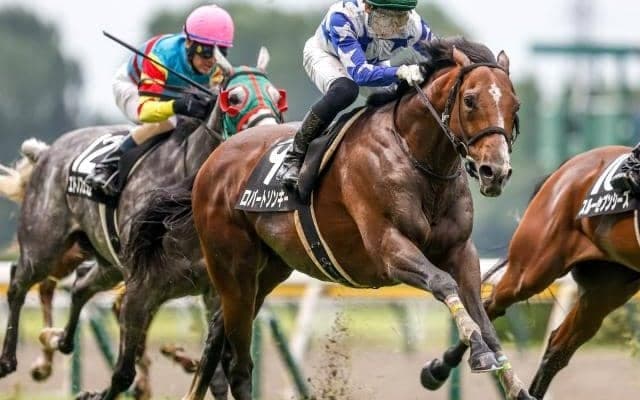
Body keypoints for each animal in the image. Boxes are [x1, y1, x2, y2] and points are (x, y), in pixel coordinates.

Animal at [0, 48, 286, 400]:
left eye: (277, 97)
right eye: (233, 98)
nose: (268, 136)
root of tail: (46, 153)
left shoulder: (216, 291)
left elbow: (216, 369)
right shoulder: (141, 285)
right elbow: (123, 372)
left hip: (107, 263)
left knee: (80, 285)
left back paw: (56, 339)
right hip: (45, 246)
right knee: (19, 281)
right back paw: (11, 360)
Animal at [129, 37, 535, 400]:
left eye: (515, 104)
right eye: (470, 100)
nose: (495, 171)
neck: (414, 155)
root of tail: (212, 161)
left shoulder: (461, 251)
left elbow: (482, 313)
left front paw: (514, 383)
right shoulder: (388, 248)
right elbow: (443, 283)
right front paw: (478, 355)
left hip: (267, 271)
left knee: (220, 340)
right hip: (232, 267)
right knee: (238, 363)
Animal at [422, 145, 640, 399]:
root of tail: (566, 168)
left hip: (607, 290)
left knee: (557, 348)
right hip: (532, 270)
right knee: (490, 306)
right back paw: (438, 369)